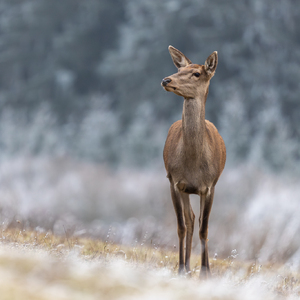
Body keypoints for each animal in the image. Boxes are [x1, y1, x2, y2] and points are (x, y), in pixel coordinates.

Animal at [161, 46, 226, 278]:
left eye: (197, 73)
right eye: (180, 69)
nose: (166, 79)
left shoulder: (210, 186)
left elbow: (204, 228)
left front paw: (205, 272)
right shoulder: (174, 181)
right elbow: (181, 226)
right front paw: (181, 267)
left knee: (197, 221)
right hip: (184, 189)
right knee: (189, 220)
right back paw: (187, 266)